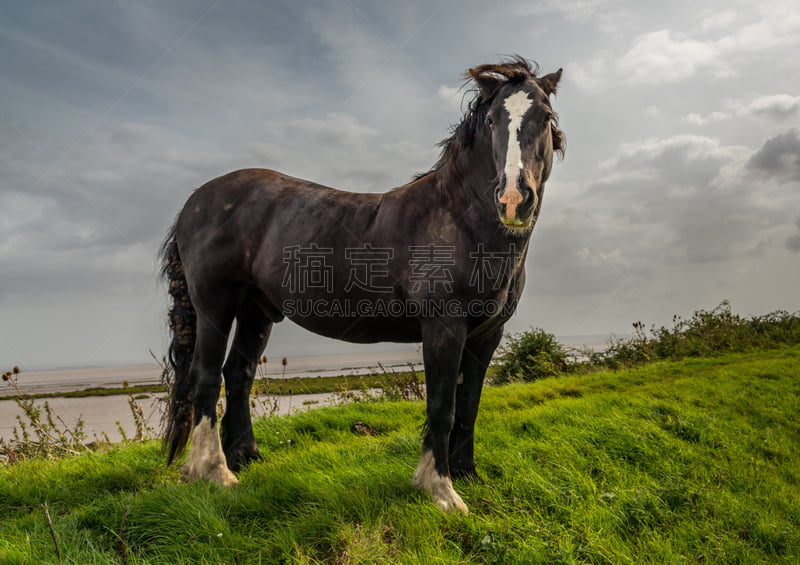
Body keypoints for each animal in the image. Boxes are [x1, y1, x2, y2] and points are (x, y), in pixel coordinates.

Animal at [161, 56, 564, 512]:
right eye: (493, 120)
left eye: (545, 118)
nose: (513, 200)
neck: (459, 218)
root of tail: (195, 201)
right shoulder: (443, 327)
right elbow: (442, 405)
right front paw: (442, 491)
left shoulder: (487, 334)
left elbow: (469, 405)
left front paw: (467, 475)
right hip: (215, 304)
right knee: (207, 375)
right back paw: (215, 473)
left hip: (256, 311)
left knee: (238, 373)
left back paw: (246, 458)